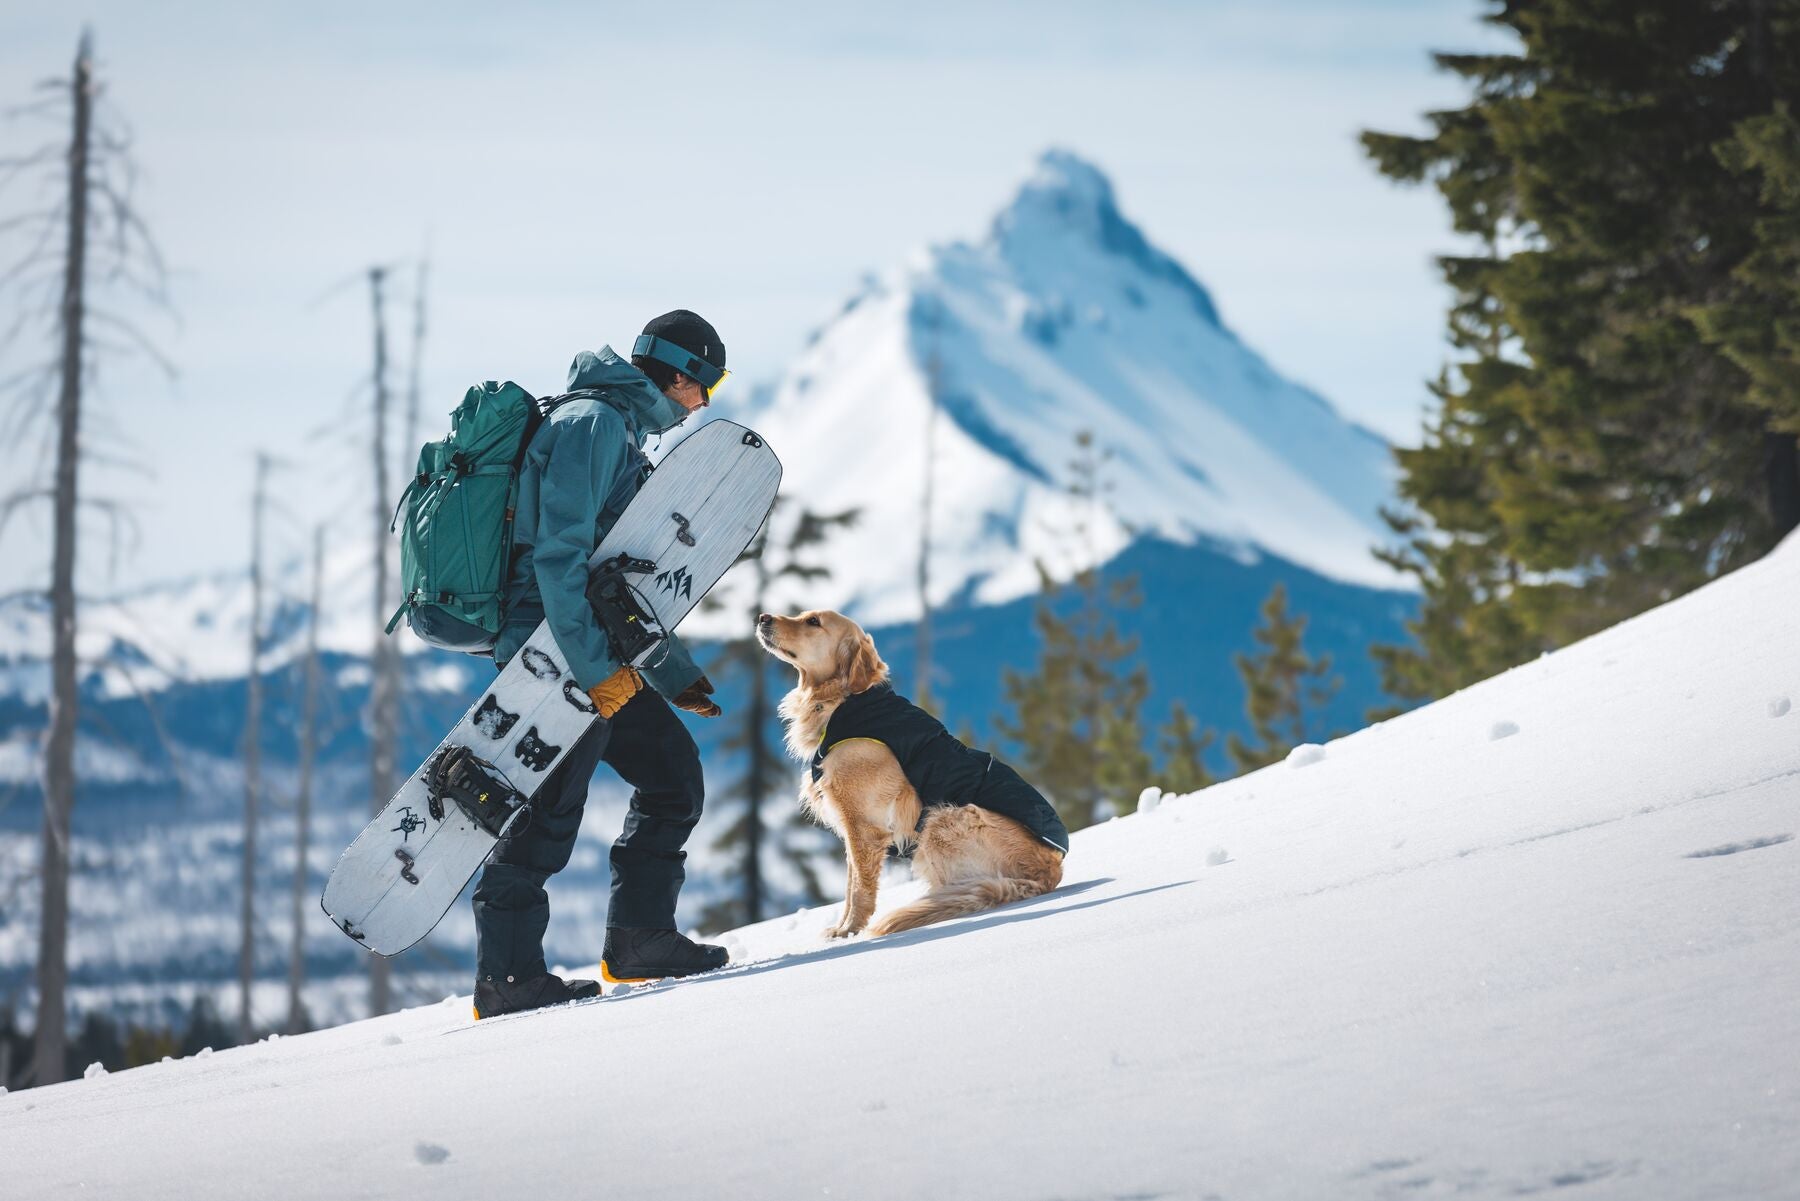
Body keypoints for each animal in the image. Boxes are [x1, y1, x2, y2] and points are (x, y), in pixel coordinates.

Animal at [752, 612, 1058, 936]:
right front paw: (840, 931)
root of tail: (1050, 873)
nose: (762, 617)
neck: (846, 701)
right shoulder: (851, 828)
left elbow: (860, 888)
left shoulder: (864, 827)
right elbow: (849, 885)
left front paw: (850, 931)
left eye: (813, 622)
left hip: (943, 817)